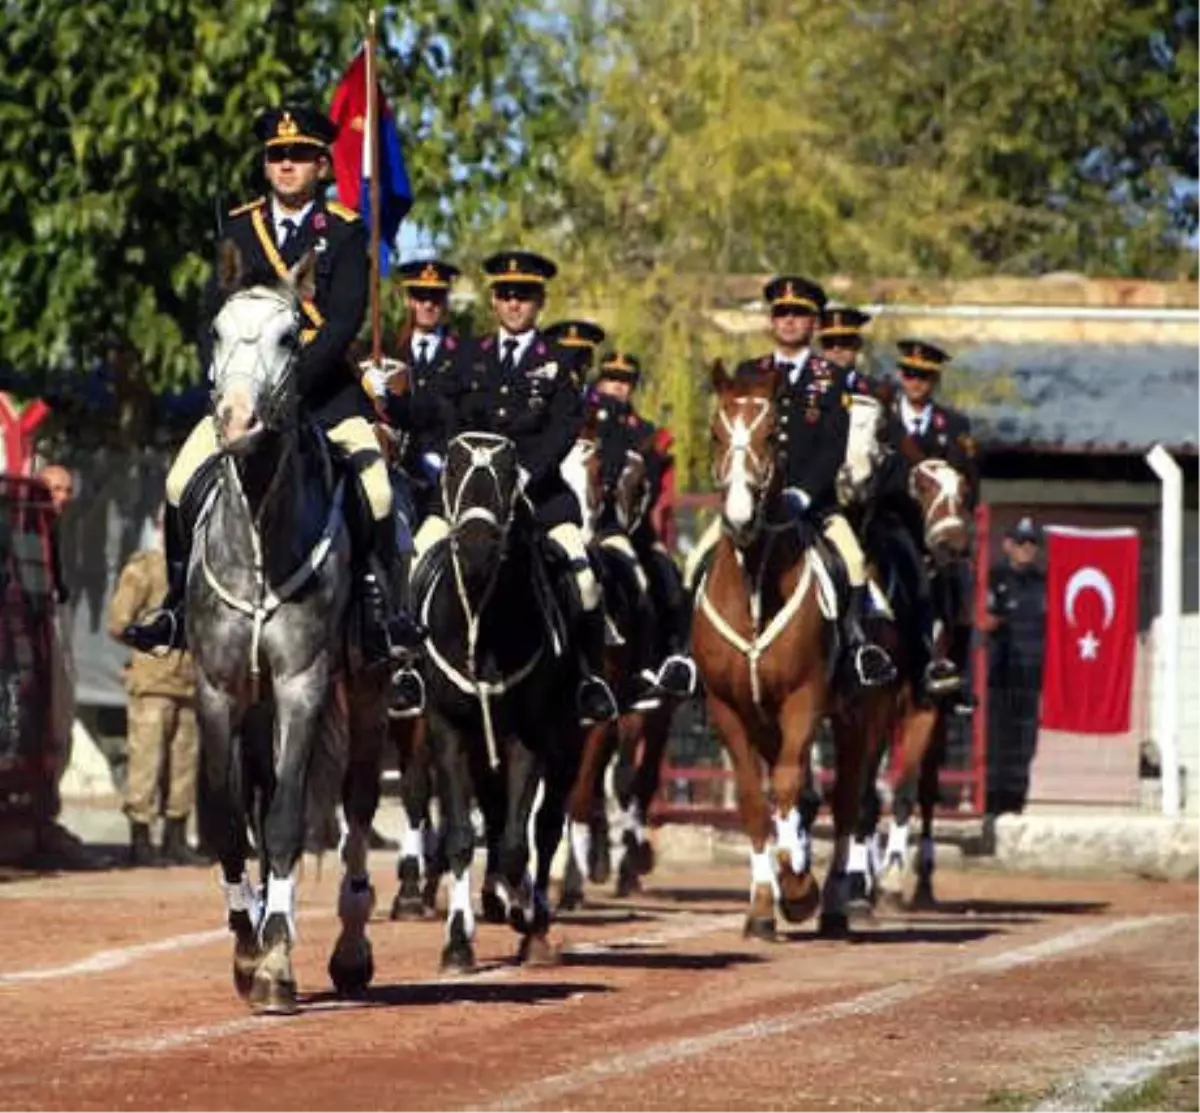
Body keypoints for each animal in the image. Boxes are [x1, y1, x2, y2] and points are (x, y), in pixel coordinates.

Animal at [190, 248, 388, 1012]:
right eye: (216, 332)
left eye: (287, 337)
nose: (238, 419)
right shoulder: (218, 690)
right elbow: (226, 818)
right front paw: (248, 947)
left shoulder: (304, 684)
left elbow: (284, 820)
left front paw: (274, 960)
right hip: (257, 706)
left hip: (366, 693)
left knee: (354, 805)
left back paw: (349, 947)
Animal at [691, 362, 868, 940]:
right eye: (715, 433)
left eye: (773, 434)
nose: (740, 517)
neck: (753, 582)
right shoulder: (730, 709)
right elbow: (753, 801)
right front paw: (764, 906)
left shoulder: (804, 698)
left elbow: (790, 785)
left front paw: (796, 883)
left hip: (860, 715)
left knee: (846, 800)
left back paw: (829, 903)